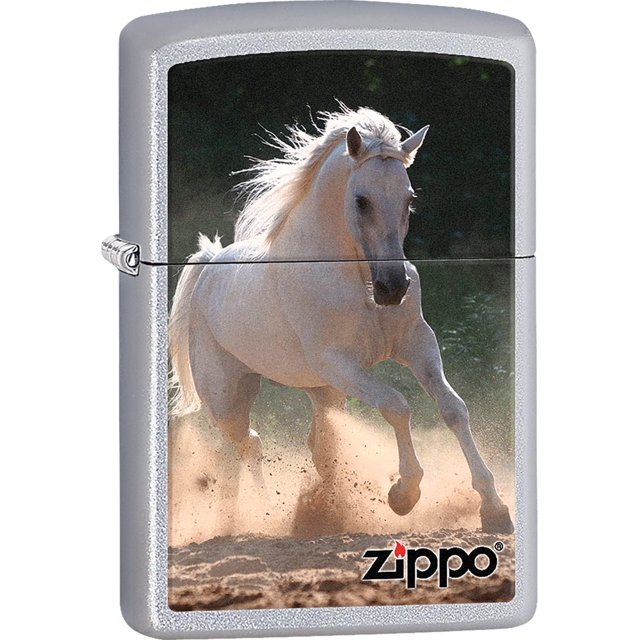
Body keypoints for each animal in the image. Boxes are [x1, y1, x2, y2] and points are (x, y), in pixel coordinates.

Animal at [169, 106, 514, 534]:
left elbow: (453, 408)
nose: (392, 288)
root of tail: (210, 264)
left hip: (321, 391)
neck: (358, 280)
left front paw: (494, 508)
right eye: (361, 201)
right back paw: (254, 516)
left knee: (304, 446)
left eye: (409, 198)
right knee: (247, 443)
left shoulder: (417, 345)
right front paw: (404, 493)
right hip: (228, 394)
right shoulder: (340, 364)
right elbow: (397, 405)